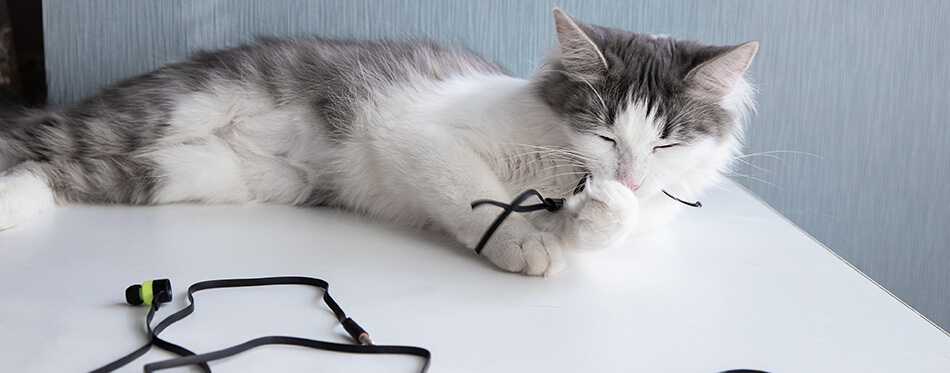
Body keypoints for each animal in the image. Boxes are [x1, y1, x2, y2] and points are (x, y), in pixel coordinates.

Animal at [0, 9, 760, 276]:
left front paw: (600, 209)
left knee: (61, 171)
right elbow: (479, 197)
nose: (626, 173)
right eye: (605, 128)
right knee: (33, 136)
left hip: (188, 172)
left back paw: (15, 205)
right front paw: (521, 245)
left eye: (665, 145)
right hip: (169, 111)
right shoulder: (418, 134)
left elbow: (605, 225)